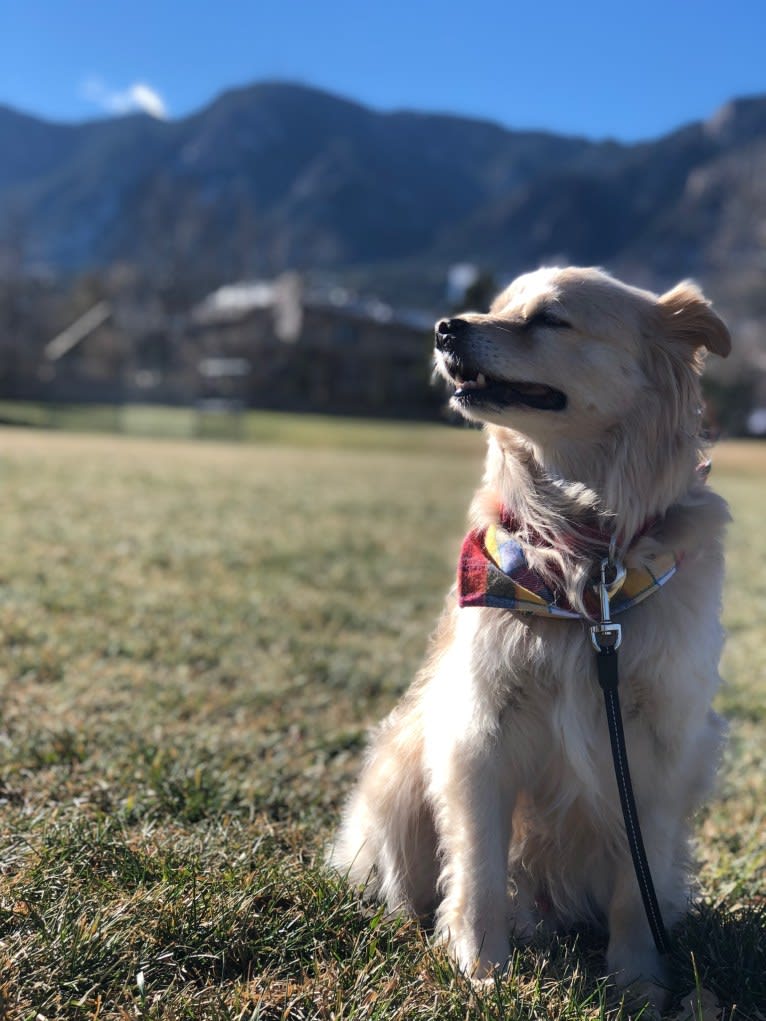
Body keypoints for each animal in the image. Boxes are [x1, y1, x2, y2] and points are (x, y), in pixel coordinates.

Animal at [332, 267, 735, 1008]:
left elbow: (635, 890)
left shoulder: (660, 750)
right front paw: (480, 971)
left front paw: (639, 981)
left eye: (549, 318)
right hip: (398, 774)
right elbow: (480, 872)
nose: (445, 327)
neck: (583, 563)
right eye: (495, 307)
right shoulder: (480, 735)